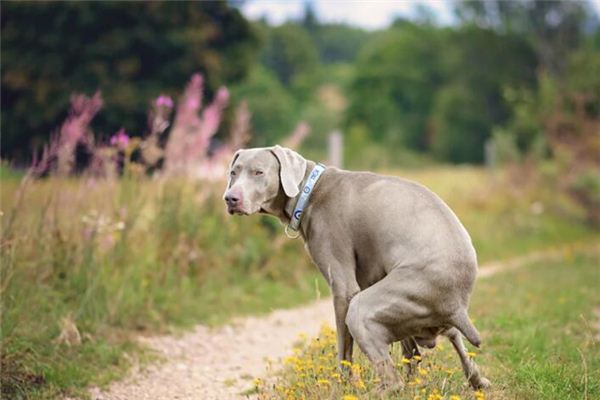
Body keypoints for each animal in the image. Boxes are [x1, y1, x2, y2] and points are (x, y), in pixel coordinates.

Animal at [223, 145, 490, 390]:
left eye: (259, 172)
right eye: (233, 172)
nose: (230, 198)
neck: (311, 192)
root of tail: (456, 306)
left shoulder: (344, 287)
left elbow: (344, 348)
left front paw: (341, 386)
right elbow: (410, 351)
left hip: (369, 307)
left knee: (393, 378)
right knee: (444, 341)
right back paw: (474, 380)